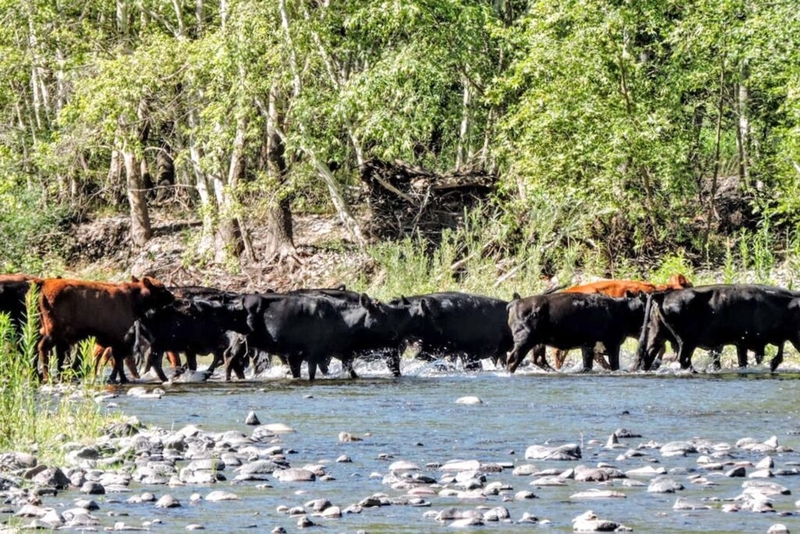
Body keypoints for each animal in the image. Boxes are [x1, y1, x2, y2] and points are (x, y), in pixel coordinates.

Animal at [37, 276, 174, 382]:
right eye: (162, 288)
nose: (172, 297)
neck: (135, 302)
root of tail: (44, 287)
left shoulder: (111, 338)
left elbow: (115, 358)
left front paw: (119, 377)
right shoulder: (119, 336)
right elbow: (118, 358)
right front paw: (120, 378)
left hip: (53, 331)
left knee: (58, 353)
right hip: (54, 330)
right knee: (43, 347)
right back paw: (46, 376)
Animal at [507, 292, 647, 373]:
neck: (622, 311)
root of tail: (516, 302)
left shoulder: (589, 346)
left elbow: (589, 365)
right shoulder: (610, 344)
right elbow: (613, 365)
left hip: (538, 341)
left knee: (538, 359)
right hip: (525, 339)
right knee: (513, 359)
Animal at [635, 284, 800, 372]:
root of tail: (664, 295)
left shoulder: (741, 343)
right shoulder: (743, 341)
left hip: (657, 336)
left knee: (648, 356)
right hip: (686, 342)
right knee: (683, 359)